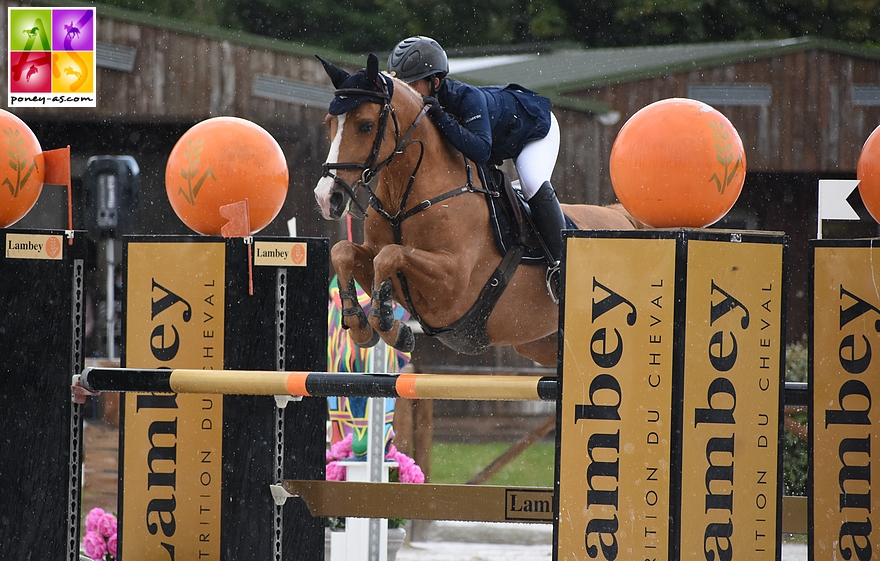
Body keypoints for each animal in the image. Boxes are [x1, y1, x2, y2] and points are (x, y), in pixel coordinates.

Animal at [312, 54, 636, 366]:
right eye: (329, 122)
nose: (326, 197)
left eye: (365, 125)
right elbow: (344, 251)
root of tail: (622, 217)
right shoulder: (378, 257)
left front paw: (392, 329)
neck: (403, 203)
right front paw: (362, 327)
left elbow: (390, 255)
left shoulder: (451, 284)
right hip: (538, 343)